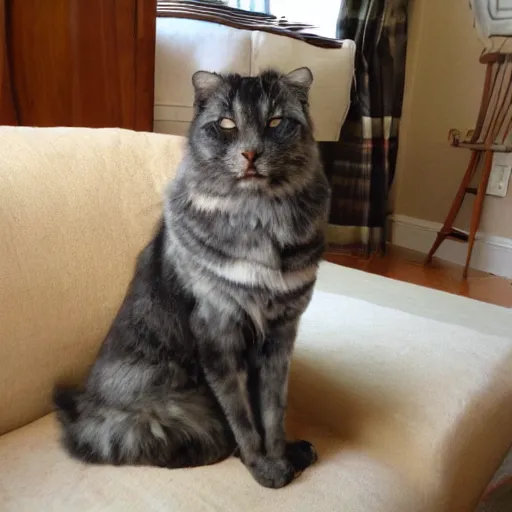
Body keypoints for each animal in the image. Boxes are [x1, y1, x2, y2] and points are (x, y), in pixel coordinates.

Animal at [53, 67, 332, 488]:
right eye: (227, 124)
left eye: (275, 122)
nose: (251, 153)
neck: (259, 217)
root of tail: (87, 406)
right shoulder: (218, 330)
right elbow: (242, 417)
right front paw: (264, 467)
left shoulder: (280, 334)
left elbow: (271, 411)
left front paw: (279, 454)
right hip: (181, 410)